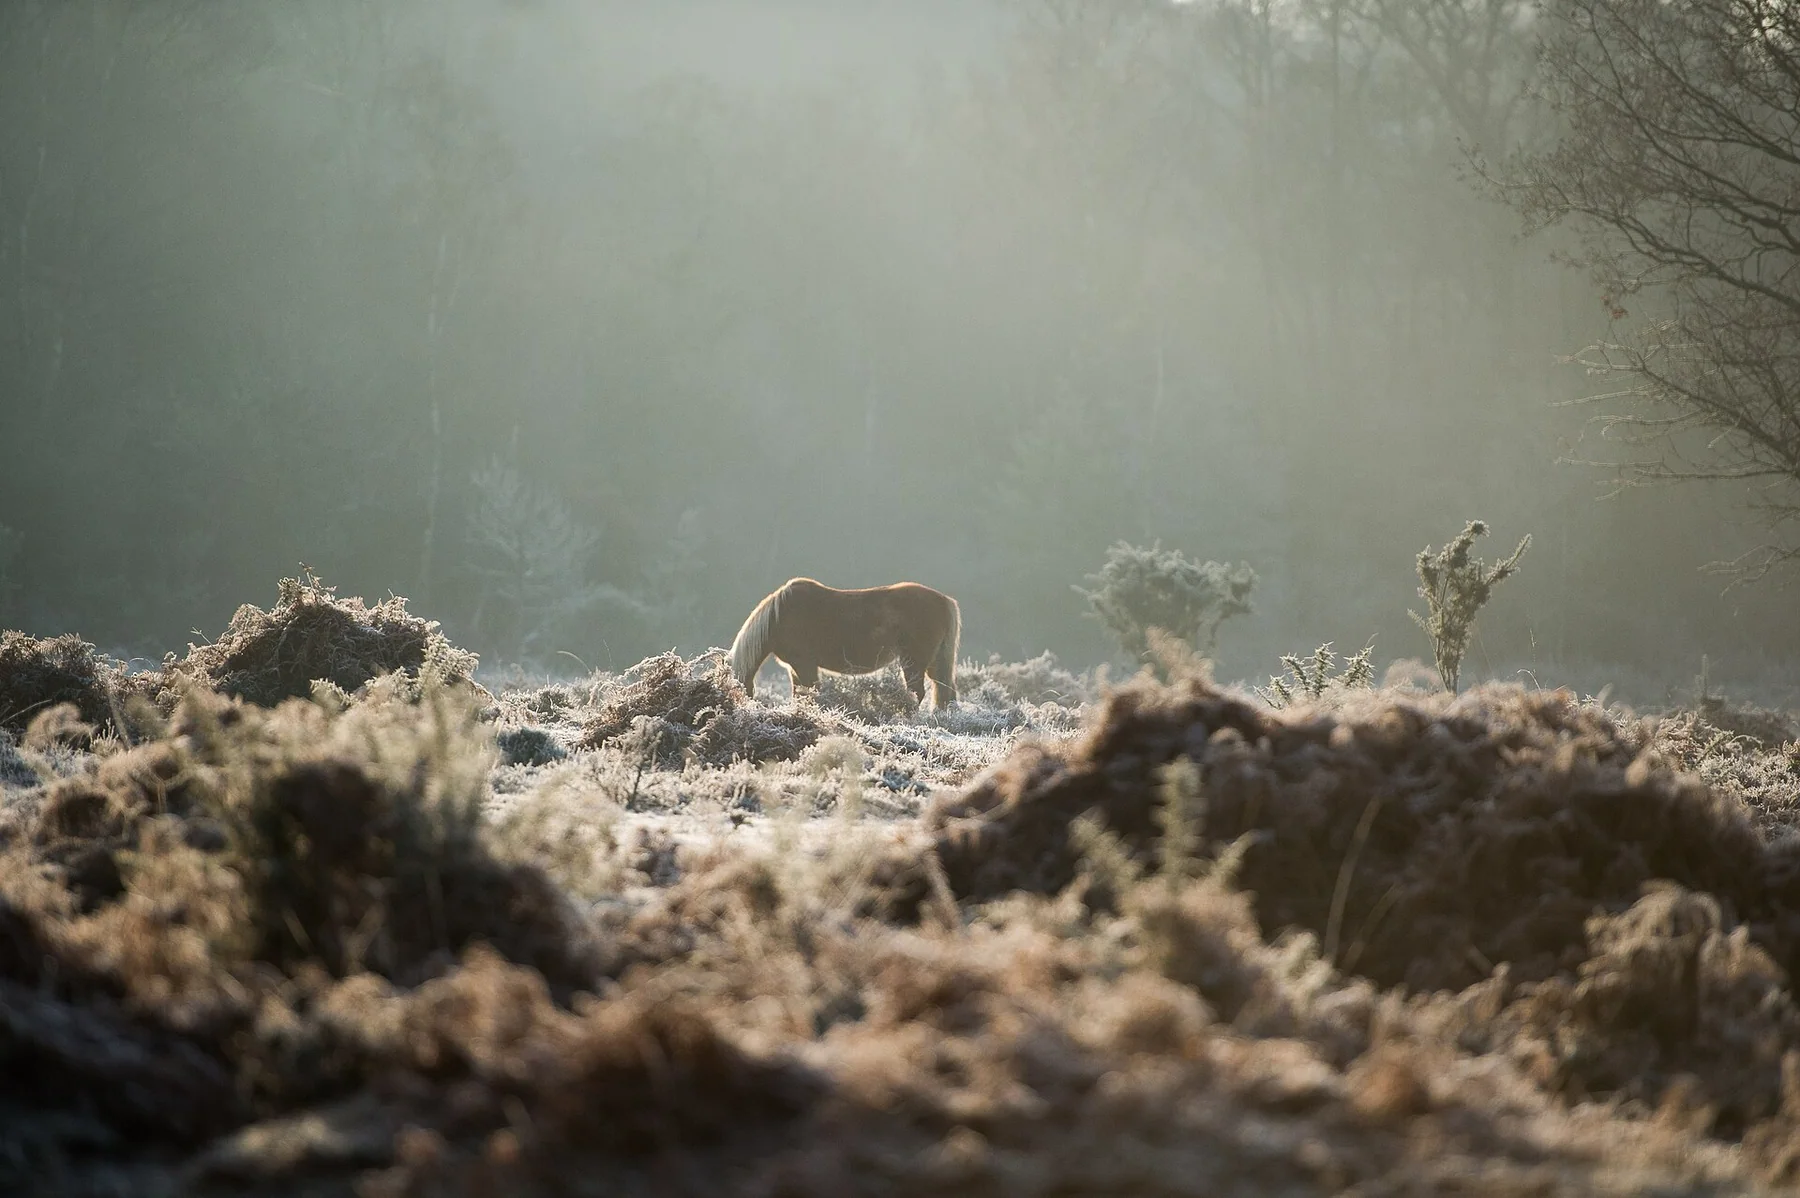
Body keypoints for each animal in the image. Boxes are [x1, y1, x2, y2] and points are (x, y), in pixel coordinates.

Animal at [728, 577, 960, 710]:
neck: (779, 617)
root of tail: (945, 601)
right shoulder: (795, 668)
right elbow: (800, 694)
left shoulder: (805, 665)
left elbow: (813, 692)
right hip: (934, 663)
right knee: (945, 690)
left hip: (913, 662)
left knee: (917, 692)